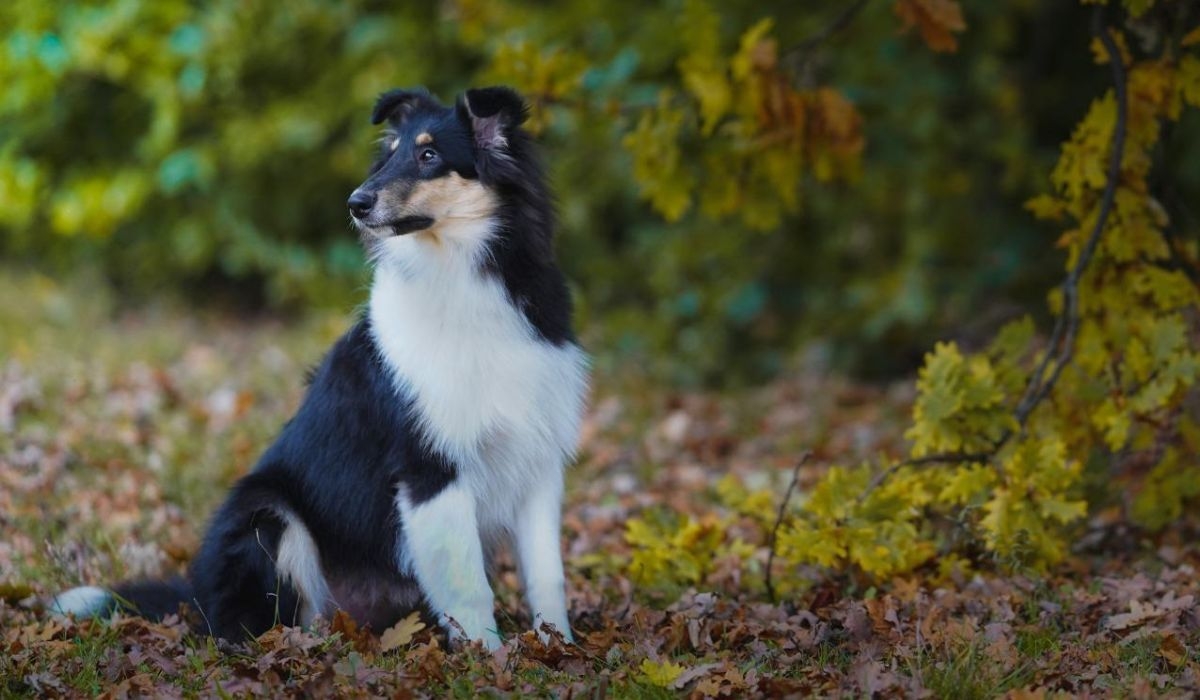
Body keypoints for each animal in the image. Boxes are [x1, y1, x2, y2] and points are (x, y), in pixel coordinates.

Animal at [56, 87, 590, 653]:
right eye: (391, 152)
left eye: (429, 155)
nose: (356, 203)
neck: (465, 278)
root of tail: (194, 600)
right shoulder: (429, 468)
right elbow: (468, 584)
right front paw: (488, 658)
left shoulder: (537, 462)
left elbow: (547, 575)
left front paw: (557, 648)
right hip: (266, 513)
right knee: (267, 622)